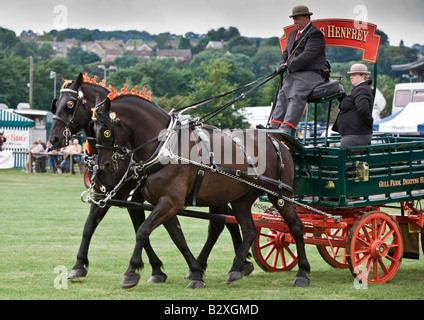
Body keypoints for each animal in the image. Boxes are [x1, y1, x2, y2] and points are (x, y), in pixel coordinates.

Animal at [51, 74, 253, 286]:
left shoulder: (135, 199)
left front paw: (153, 269)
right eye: (56, 104)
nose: (54, 138)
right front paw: (79, 265)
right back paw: (236, 263)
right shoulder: (103, 196)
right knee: (225, 221)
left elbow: (140, 229)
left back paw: (234, 264)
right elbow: (89, 227)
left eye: (70, 104)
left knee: (220, 223)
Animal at [93, 95, 310, 290]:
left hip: (279, 195)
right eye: (92, 128)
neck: (165, 147)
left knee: (296, 227)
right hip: (241, 199)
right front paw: (196, 272)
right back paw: (235, 269)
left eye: (105, 131)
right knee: (249, 230)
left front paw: (131, 272)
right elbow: (178, 238)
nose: (103, 165)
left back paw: (302, 273)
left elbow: (143, 230)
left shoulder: (171, 202)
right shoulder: (162, 203)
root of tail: (276, 140)